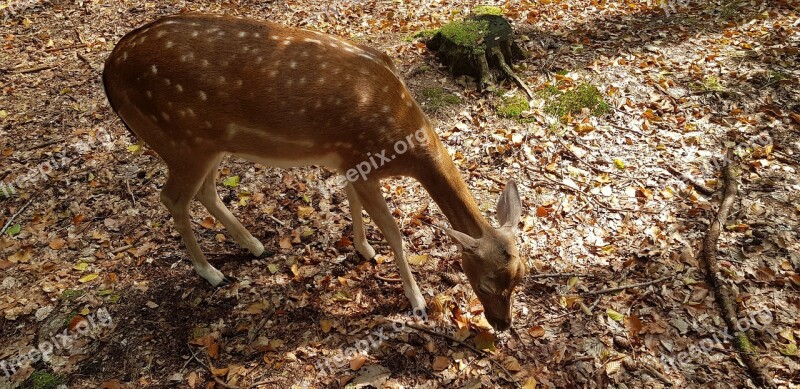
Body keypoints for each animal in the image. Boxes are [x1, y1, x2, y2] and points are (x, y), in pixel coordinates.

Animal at [103, 14, 528, 330]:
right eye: (486, 282)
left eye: (520, 277)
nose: (502, 324)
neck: (404, 144)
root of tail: (110, 68)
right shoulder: (362, 161)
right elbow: (394, 232)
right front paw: (417, 301)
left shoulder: (349, 162)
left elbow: (353, 203)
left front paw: (363, 249)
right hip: (181, 140)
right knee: (172, 198)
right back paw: (211, 272)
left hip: (207, 144)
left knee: (204, 192)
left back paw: (255, 245)